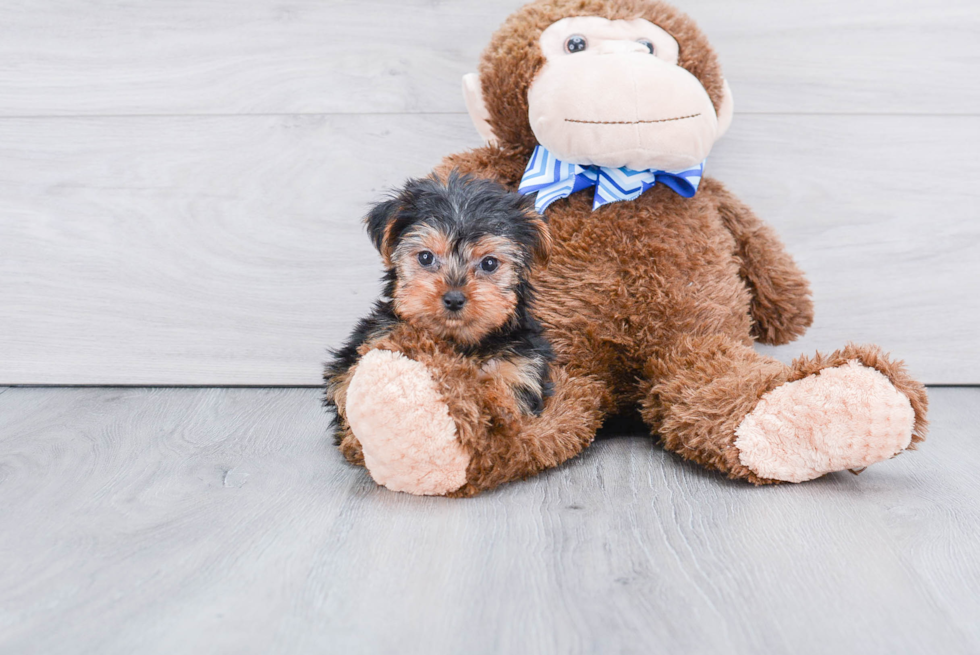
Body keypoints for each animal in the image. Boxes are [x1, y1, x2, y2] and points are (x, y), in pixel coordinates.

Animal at [326, 170, 556, 446]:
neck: (458, 341)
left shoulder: (520, 368)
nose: (454, 298)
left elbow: (505, 406)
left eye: (489, 263)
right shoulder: (373, 339)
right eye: (425, 257)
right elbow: (347, 387)